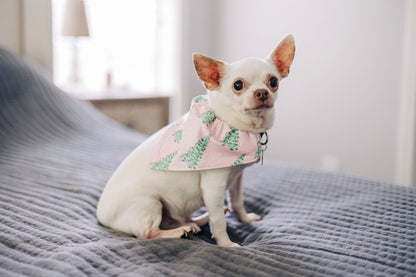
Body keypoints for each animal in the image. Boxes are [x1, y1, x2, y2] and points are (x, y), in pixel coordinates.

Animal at [96, 34, 296, 246]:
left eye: (273, 81)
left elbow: (237, 201)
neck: (233, 125)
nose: (262, 92)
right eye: (238, 85)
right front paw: (226, 244)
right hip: (150, 203)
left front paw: (245, 218)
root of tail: (102, 217)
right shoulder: (214, 186)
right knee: (149, 234)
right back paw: (181, 231)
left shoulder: (237, 177)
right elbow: (219, 220)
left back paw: (197, 221)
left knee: (182, 218)